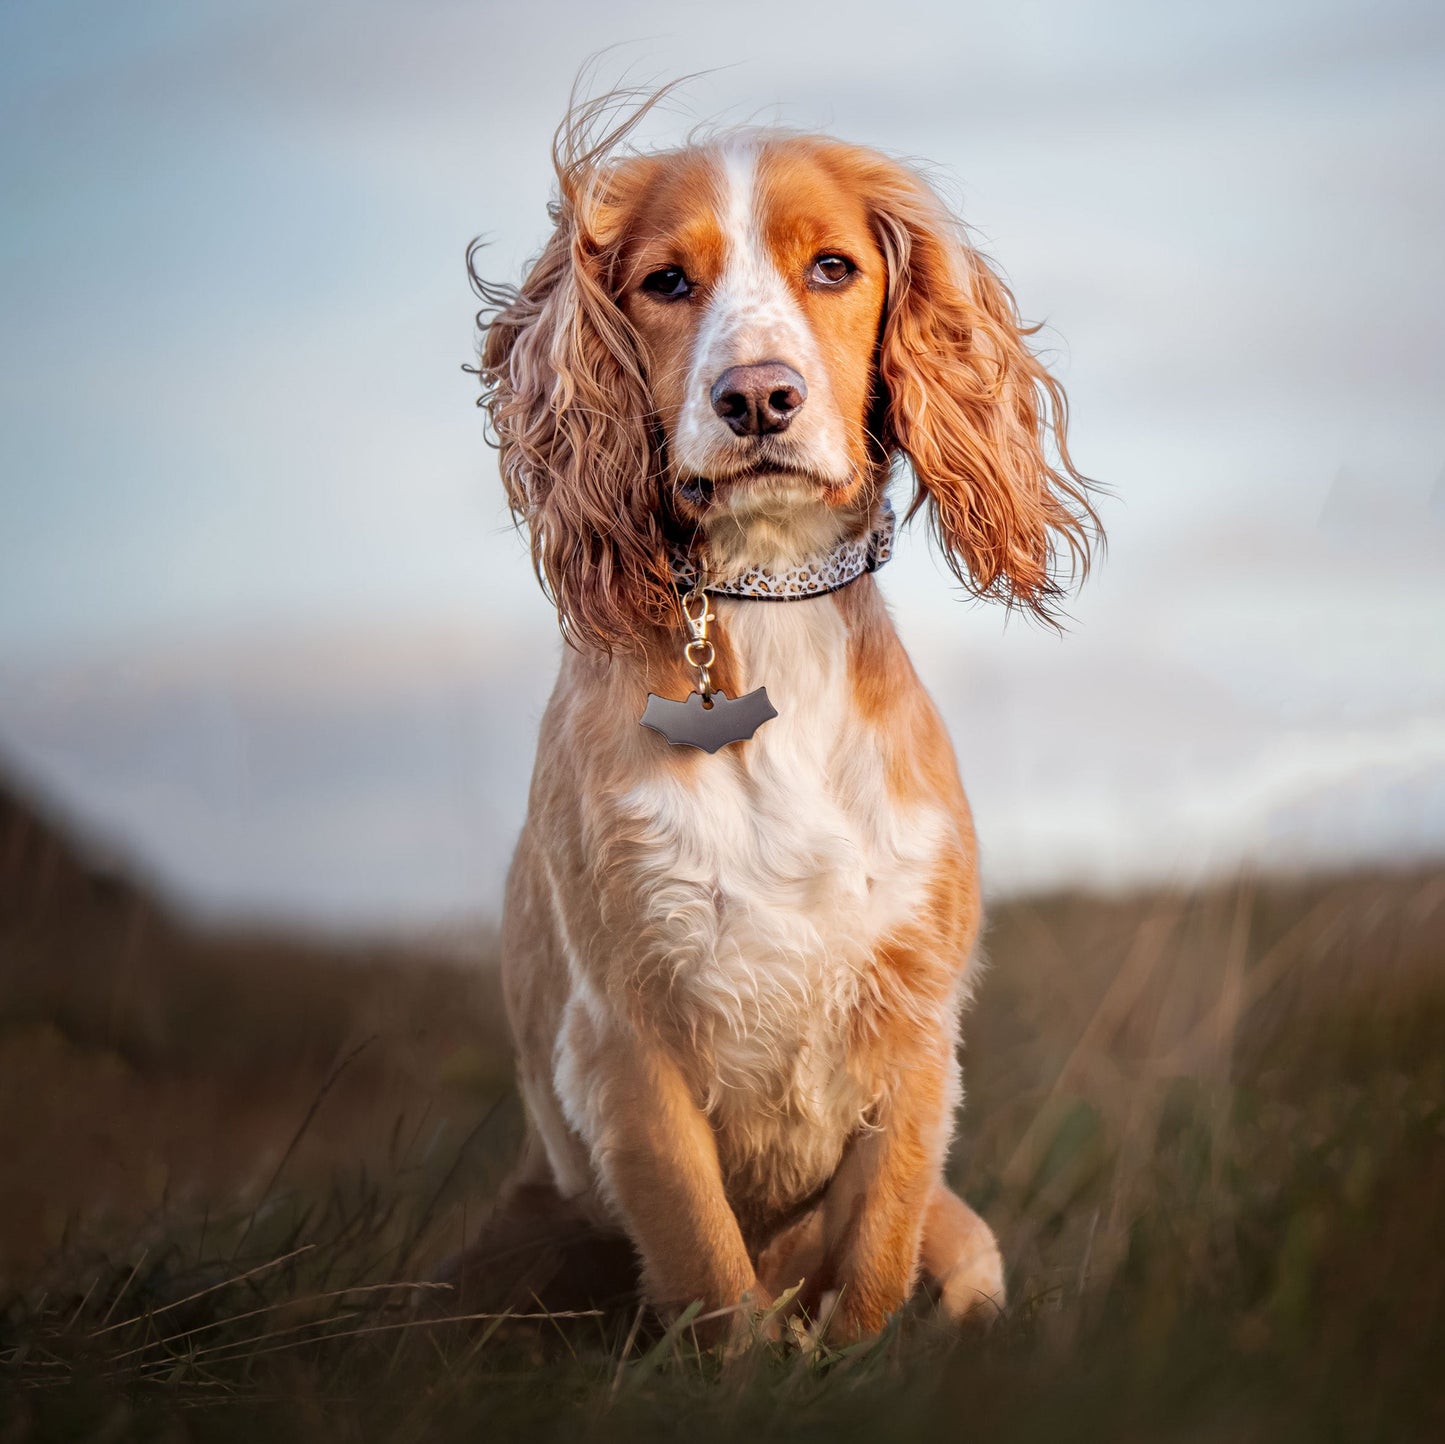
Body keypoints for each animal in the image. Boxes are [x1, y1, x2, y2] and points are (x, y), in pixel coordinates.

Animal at [456, 99, 1098, 1341]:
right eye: (665, 281)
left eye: (833, 267)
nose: (756, 397)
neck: (768, 604)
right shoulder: (627, 1037)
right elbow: (712, 1277)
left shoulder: (913, 1031)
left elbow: (873, 1268)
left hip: (970, 1235)